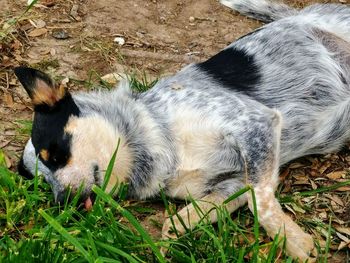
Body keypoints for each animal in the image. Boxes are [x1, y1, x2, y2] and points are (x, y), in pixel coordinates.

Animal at [14, 0, 350, 262]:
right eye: (43, 182)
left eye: (56, 154)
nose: (61, 204)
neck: (155, 136)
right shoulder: (234, 180)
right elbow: (180, 220)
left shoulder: (255, 122)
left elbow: (262, 203)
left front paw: (294, 241)